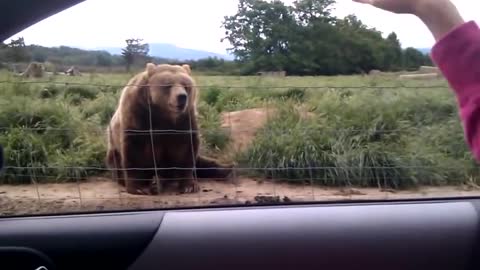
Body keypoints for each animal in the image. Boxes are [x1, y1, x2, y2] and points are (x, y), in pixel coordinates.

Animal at [106, 62, 233, 195]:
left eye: (186, 85)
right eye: (168, 85)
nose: (182, 97)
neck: (164, 114)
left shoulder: (184, 120)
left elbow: (186, 150)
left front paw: (189, 186)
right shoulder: (137, 115)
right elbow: (134, 151)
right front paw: (139, 188)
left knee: (201, 162)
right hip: (113, 151)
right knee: (117, 163)